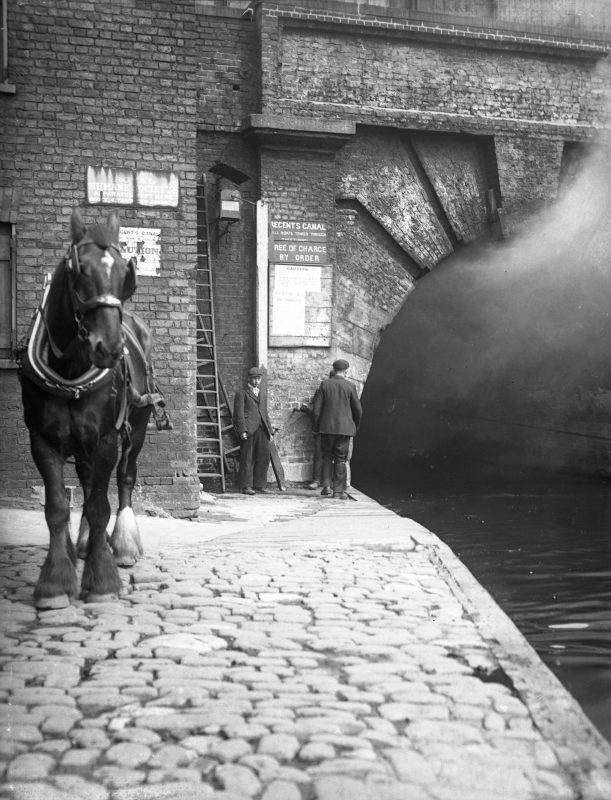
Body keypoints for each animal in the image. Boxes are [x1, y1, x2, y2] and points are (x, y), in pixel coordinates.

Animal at [19, 209, 167, 608]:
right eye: (79, 270)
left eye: (125, 274)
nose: (111, 348)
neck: (72, 369)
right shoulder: (42, 441)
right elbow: (57, 507)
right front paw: (56, 581)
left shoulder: (105, 440)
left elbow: (101, 506)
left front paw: (102, 580)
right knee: (86, 484)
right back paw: (82, 546)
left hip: (136, 428)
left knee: (124, 478)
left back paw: (124, 546)